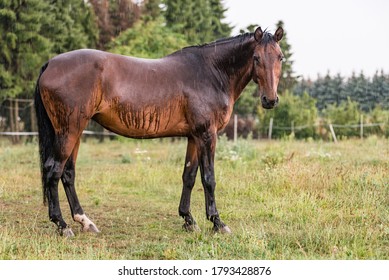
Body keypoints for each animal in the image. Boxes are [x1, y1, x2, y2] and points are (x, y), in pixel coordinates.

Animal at [34, 25, 284, 236]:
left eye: (280, 57)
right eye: (256, 58)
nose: (270, 100)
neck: (212, 72)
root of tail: (50, 64)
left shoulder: (194, 137)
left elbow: (189, 176)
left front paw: (188, 220)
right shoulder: (207, 135)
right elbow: (209, 178)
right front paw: (217, 223)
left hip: (74, 132)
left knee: (68, 173)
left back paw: (85, 221)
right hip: (69, 131)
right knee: (53, 170)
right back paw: (62, 225)